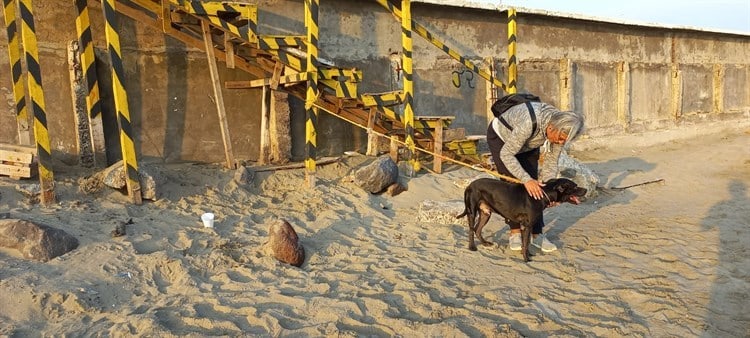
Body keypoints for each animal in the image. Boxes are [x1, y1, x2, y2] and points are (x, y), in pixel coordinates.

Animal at [458, 177, 588, 262]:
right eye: (575, 186)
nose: (586, 190)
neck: (543, 194)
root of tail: (469, 185)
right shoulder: (527, 225)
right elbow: (525, 243)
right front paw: (526, 259)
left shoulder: (526, 226)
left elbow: (526, 242)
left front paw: (527, 254)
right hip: (472, 211)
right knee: (471, 230)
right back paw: (472, 247)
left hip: (486, 213)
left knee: (477, 229)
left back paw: (485, 243)